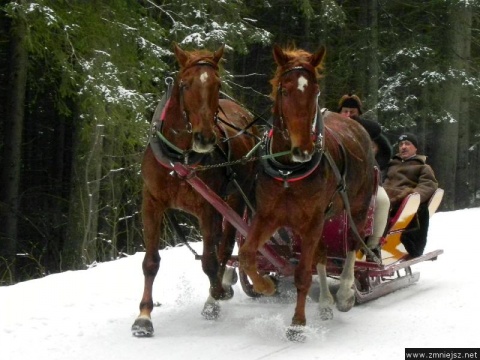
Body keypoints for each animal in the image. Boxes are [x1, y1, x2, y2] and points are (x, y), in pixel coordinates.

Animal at [131, 43, 256, 336]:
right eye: (185, 85)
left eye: (218, 84)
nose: (205, 138)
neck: (179, 158)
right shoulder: (151, 203)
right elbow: (150, 262)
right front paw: (144, 316)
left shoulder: (208, 208)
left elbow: (209, 260)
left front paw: (216, 294)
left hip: (236, 198)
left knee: (225, 247)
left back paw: (217, 291)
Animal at [238, 45, 376, 340]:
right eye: (284, 89)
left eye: (314, 90)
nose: (303, 150)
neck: (288, 172)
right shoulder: (268, 217)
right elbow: (246, 254)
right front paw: (265, 285)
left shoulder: (311, 221)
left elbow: (302, 273)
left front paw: (297, 323)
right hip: (324, 218)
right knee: (322, 255)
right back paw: (324, 303)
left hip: (357, 208)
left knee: (352, 245)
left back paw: (345, 295)